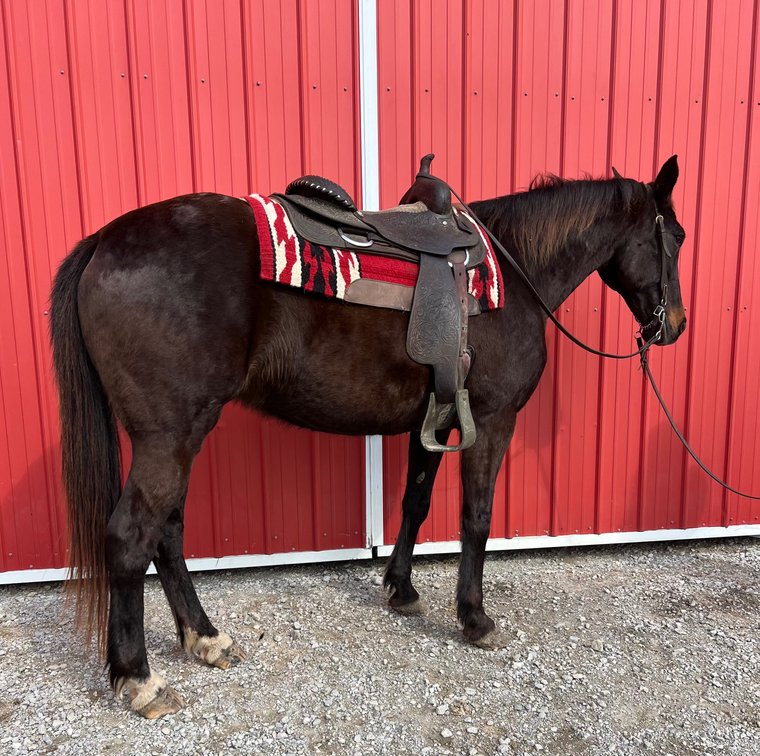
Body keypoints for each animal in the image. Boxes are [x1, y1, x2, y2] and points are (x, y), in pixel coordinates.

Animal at [50, 156, 686, 718]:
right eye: (675, 238)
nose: (674, 325)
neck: (513, 275)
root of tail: (103, 239)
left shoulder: (436, 420)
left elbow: (416, 501)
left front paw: (401, 589)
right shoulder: (492, 419)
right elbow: (476, 518)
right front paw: (475, 618)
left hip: (177, 436)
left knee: (168, 533)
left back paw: (205, 638)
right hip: (170, 435)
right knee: (133, 537)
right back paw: (139, 679)